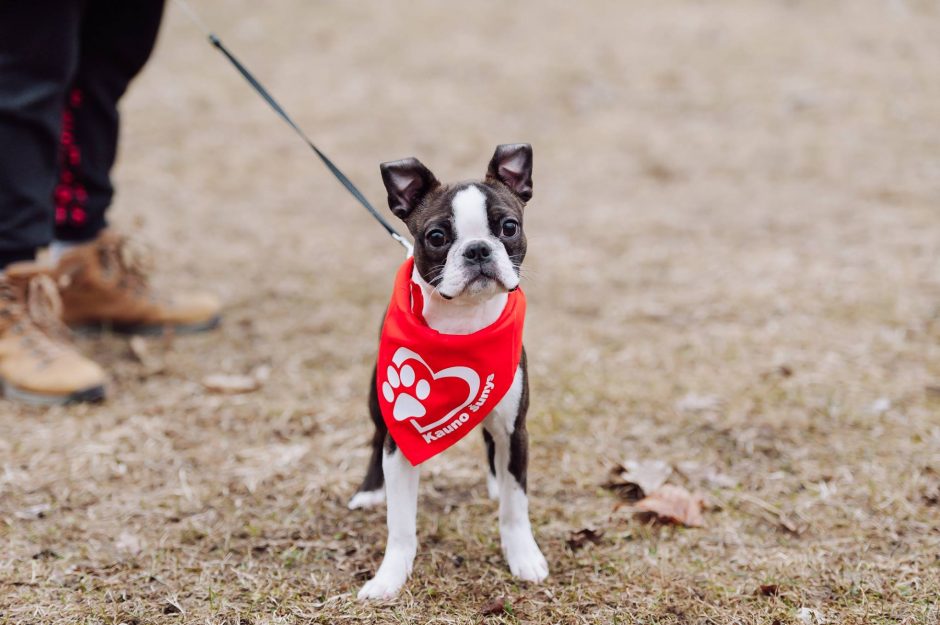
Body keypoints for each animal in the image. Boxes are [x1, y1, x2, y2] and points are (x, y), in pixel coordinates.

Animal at [348, 144, 548, 596]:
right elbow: (400, 523)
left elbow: (516, 505)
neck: (463, 325)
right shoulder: (400, 441)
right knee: (374, 436)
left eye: (509, 227)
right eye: (437, 237)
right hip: (375, 398)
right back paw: (369, 492)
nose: (477, 249)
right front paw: (389, 577)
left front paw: (523, 556)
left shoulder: (517, 428)